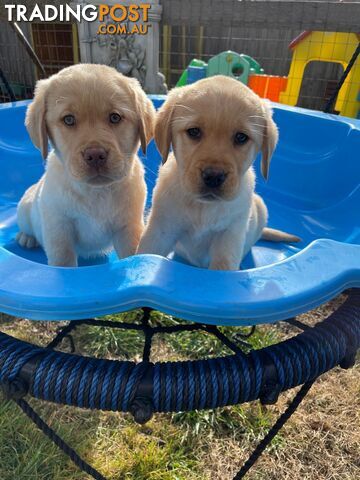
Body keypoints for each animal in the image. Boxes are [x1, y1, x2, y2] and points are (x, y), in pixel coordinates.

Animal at [16, 62, 155, 266]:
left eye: (115, 117)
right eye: (68, 119)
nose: (95, 155)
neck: (96, 193)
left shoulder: (128, 227)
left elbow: (132, 255)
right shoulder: (59, 230)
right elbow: (63, 262)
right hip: (25, 209)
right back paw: (26, 237)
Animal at [139, 75, 300, 270]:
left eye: (241, 137)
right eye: (194, 131)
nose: (214, 176)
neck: (203, 207)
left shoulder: (229, 237)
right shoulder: (161, 229)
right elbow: (143, 255)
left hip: (261, 206)